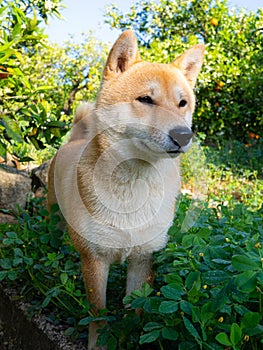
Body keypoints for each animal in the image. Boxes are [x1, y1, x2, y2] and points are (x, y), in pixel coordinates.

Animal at [48, 30, 205, 350]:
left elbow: (136, 312)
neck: (134, 190)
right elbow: (98, 313)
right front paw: (98, 343)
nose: (183, 135)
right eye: (145, 99)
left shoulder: (143, 258)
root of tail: (73, 139)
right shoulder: (95, 259)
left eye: (182, 103)